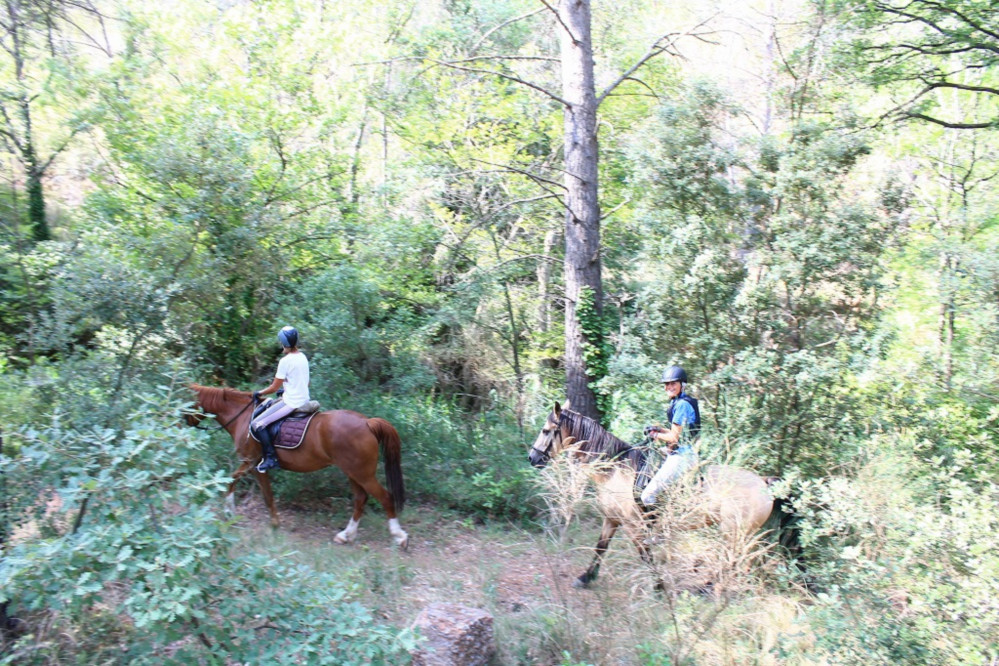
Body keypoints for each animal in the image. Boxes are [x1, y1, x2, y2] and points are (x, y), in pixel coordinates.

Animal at [186, 382, 408, 548]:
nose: (184, 423)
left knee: (385, 498)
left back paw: (399, 536)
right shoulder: (256, 466)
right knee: (360, 499)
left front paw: (230, 512)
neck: (243, 417)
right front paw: (271, 524)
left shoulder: (250, 462)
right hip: (352, 472)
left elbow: (235, 481)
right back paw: (346, 535)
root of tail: (367, 423)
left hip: (362, 473)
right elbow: (263, 493)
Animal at [528, 402, 784, 584]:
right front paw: (586, 577)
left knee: (736, 561)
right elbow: (600, 547)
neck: (614, 471)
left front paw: (660, 587)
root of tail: (763, 483)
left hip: (734, 532)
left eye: (546, 430)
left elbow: (646, 556)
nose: (532, 458)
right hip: (740, 533)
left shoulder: (635, 526)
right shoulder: (611, 518)